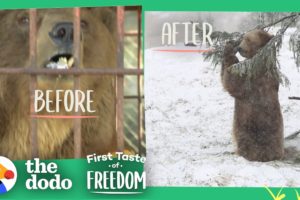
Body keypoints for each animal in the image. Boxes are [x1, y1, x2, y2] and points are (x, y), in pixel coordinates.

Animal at [223, 29, 284, 161]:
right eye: (244, 37)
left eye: (248, 39)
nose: (239, 47)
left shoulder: (252, 78)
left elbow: (233, 82)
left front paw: (228, 50)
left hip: (249, 128)